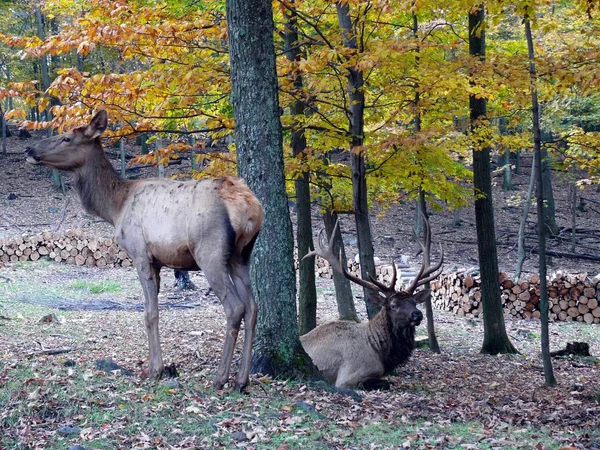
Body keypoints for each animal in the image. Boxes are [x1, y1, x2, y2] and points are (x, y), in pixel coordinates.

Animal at [24, 110, 262, 392]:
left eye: (66, 138)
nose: (30, 149)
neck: (114, 207)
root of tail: (251, 208)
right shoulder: (158, 261)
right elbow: (153, 309)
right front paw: (158, 366)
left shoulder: (140, 254)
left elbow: (150, 313)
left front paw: (155, 370)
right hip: (241, 255)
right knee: (252, 306)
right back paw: (242, 379)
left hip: (210, 252)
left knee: (235, 307)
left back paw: (221, 378)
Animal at [302, 219, 442, 390]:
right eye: (393, 305)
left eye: (414, 302)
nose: (417, 314)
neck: (380, 353)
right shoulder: (348, 377)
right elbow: (386, 383)